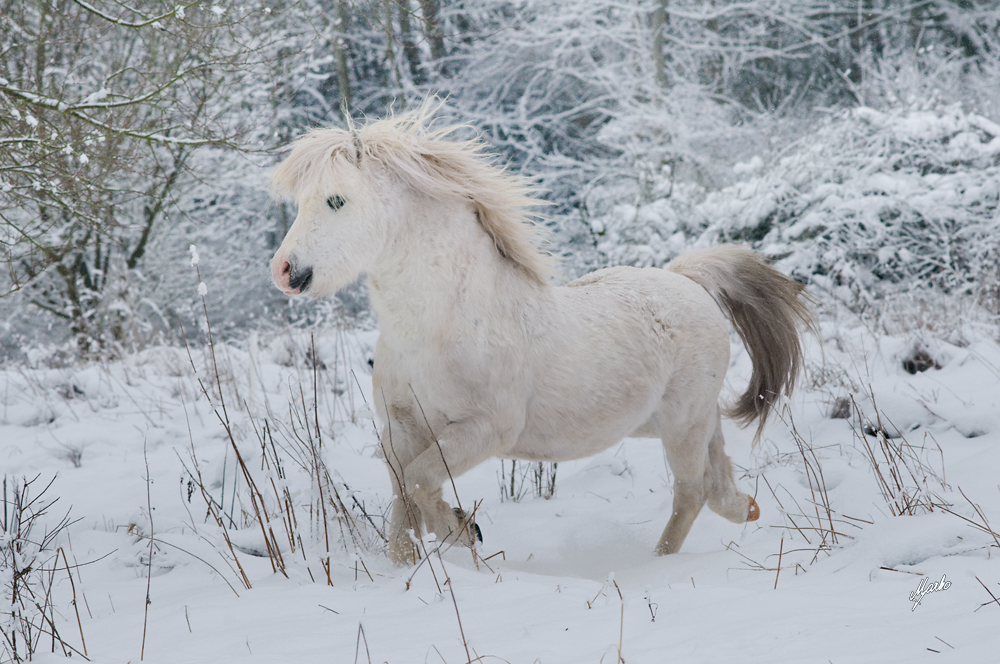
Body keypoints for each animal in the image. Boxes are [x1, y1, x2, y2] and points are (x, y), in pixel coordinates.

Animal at [270, 109, 816, 564]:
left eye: (336, 199)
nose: (286, 272)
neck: (439, 327)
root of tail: (688, 280)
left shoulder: (485, 429)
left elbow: (420, 481)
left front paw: (462, 530)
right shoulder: (400, 431)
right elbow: (402, 502)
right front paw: (418, 560)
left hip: (683, 423)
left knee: (691, 491)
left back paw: (657, 564)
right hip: (676, 421)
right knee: (716, 481)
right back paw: (745, 510)